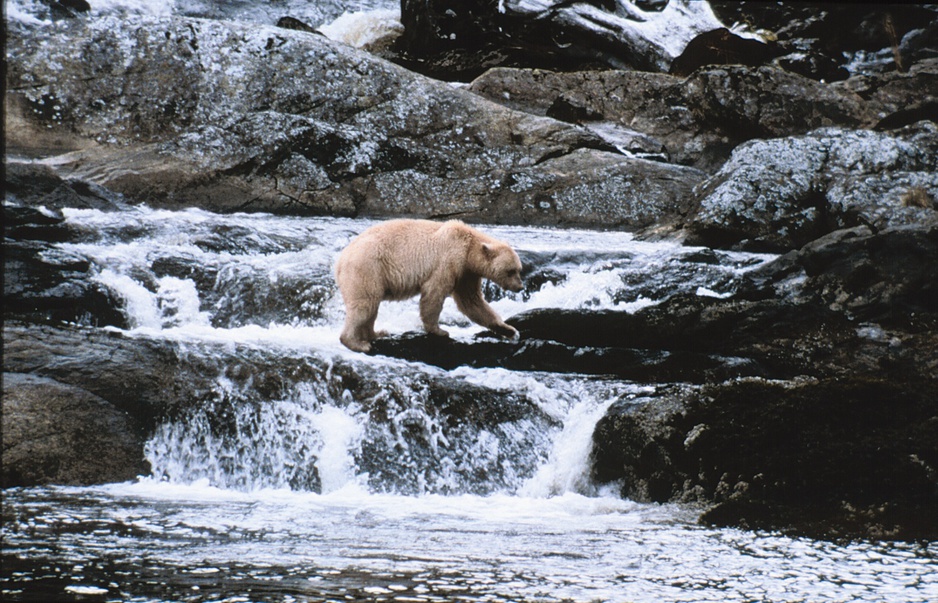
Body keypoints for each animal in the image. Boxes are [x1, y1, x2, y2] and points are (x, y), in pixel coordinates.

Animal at [334, 221, 528, 354]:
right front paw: (440, 331)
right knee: (364, 304)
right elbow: (434, 293)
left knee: (372, 307)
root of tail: (340, 260)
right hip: (367, 269)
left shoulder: (467, 274)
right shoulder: (448, 261)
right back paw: (357, 343)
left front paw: (510, 331)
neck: (468, 248)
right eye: (510, 271)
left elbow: (472, 302)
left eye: (519, 270)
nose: (520, 287)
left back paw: (377, 333)